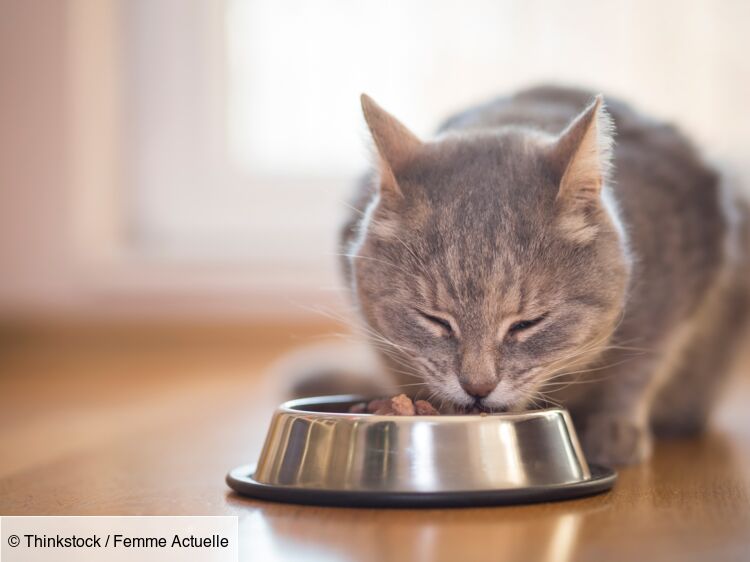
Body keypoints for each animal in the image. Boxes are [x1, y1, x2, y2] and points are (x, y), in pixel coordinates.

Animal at [302, 85, 750, 464]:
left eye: (528, 324)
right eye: (435, 321)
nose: (477, 387)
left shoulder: (681, 282)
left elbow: (641, 366)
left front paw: (615, 428)